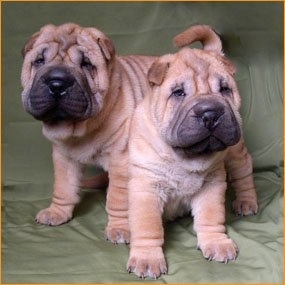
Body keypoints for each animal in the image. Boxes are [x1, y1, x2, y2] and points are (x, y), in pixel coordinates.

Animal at [126, 24, 258, 278]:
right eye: (178, 93)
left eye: (224, 89)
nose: (211, 114)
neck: (184, 157)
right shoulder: (147, 186)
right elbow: (147, 226)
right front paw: (147, 259)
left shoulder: (212, 184)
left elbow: (211, 217)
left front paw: (216, 243)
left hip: (236, 154)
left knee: (244, 176)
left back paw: (247, 202)